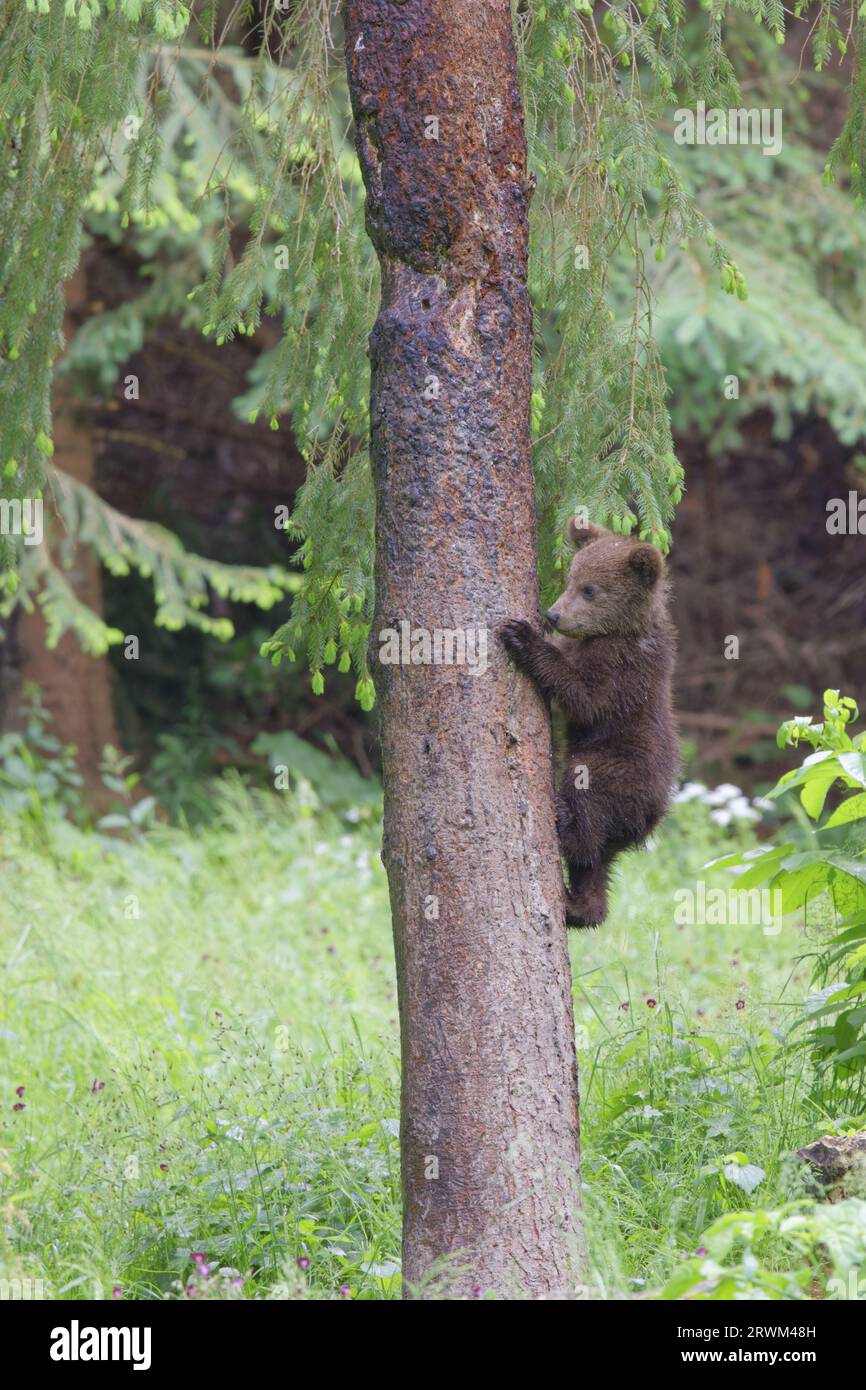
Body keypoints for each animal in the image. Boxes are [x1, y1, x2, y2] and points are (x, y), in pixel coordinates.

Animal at [500, 519, 678, 928]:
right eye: (571, 578)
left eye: (590, 589)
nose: (553, 615)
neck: (616, 632)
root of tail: (653, 817)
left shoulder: (624, 671)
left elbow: (584, 698)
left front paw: (523, 636)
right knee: (596, 862)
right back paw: (579, 906)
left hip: (620, 768)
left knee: (588, 795)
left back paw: (563, 819)